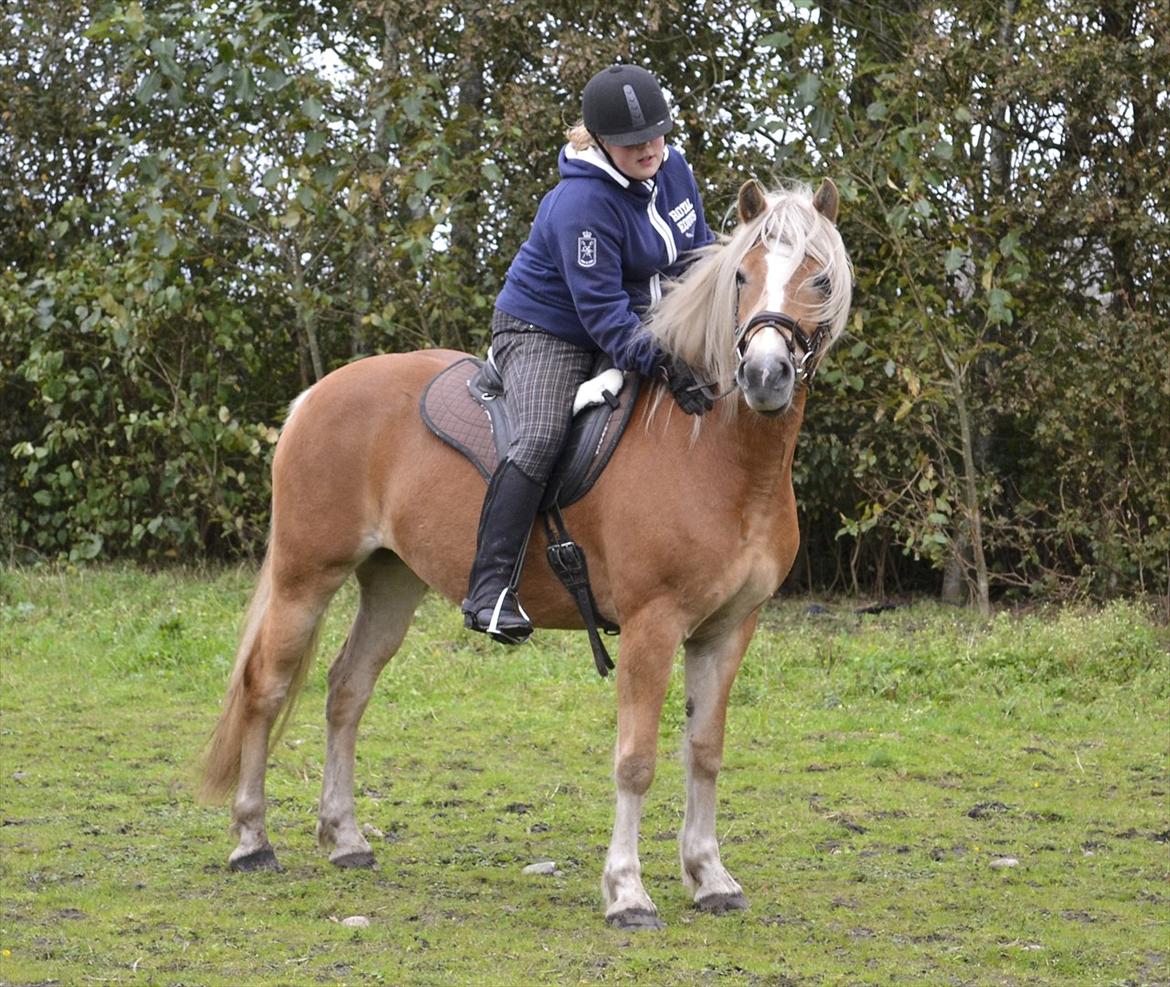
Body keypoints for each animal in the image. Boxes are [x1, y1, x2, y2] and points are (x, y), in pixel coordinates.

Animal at [201, 178, 856, 930]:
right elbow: (636, 758)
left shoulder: (728, 629)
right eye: (742, 276)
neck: (716, 453)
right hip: (306, 575)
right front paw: (627, 891)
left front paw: (710, 876)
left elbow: (705, 751)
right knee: (266, 687)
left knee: (347, 689)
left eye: (820, 278)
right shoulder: (652, 624)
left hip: (392, 582)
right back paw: (251, 839)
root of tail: (319, 393)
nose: (764, 373)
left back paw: (346, 838)